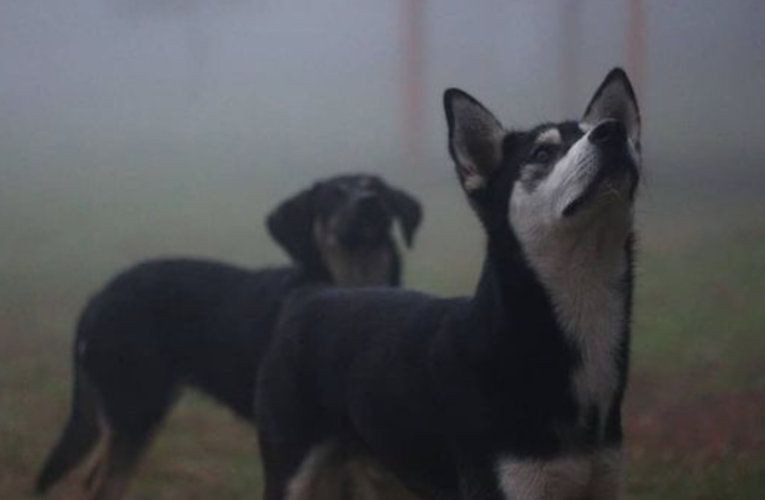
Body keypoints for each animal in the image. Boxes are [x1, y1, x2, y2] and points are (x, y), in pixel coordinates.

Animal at [37, 174, 424, 498]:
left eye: (377, 188)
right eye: (332, 195)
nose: (370, 202)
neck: (352, 285)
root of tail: (97, 297)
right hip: (136, 407)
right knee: (102, 484)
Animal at [255, 69, 640, 500]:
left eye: (607, 128)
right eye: (542, 153)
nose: (612, 131)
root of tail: (315, 291)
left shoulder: (604, 480)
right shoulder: (510, 483)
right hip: (292, 470)